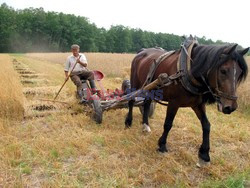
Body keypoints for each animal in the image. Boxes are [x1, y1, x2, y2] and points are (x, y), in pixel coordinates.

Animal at [125, 38, 248, 166]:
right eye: (223, 71)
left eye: (240, 73)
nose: (231, 107)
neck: (188, 71)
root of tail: (141, 52)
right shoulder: (174, 102)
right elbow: (168, 124)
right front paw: (162, 145)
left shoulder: (198, 104)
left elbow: (206, 125)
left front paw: (204, 154)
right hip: (135, 82)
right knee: (131, 100)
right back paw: (128, 122)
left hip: (151, 88)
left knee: (147, 103)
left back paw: (145, 125)